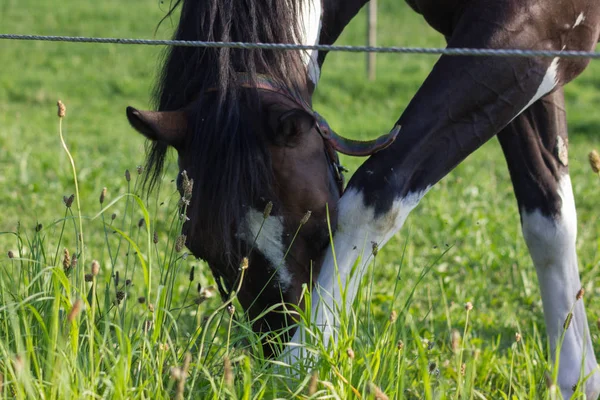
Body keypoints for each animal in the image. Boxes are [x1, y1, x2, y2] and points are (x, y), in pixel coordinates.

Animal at [126, 0, 600, 396]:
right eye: (204, 249)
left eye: (321, 232)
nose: (277, 341)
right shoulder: (533, 57)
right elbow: (548, 223)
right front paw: (577, 378)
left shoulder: (531, 31)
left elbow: (376, 193)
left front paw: (299, 371)